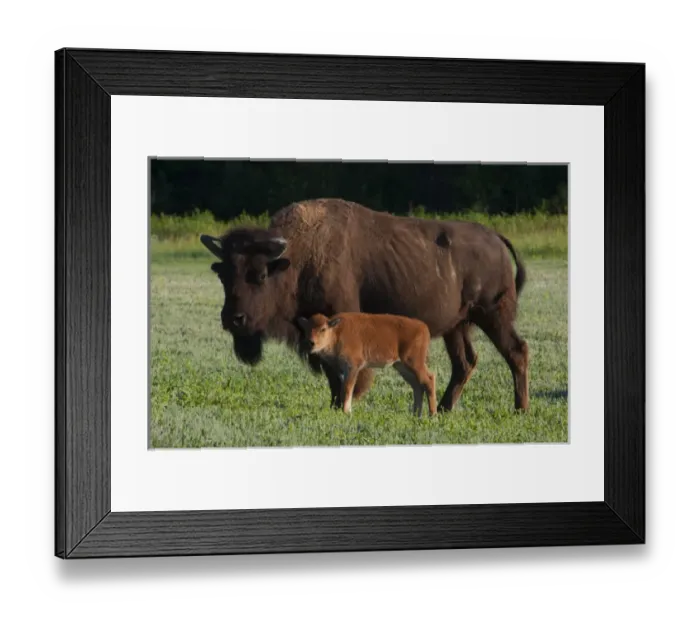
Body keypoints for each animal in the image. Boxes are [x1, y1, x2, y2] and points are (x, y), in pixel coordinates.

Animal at [201, 198, 529, 412]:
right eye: (223, 274)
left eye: (259, 275)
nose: (233, 319)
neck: (297, 259)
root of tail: (496, 238)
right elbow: (331, 372)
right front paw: (335, 405)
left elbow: (342, 374)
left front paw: (345, 404)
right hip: (457, 326)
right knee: (465, 363)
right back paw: (446, 409)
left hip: (493, 315)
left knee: (516, 351)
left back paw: (520, 408)